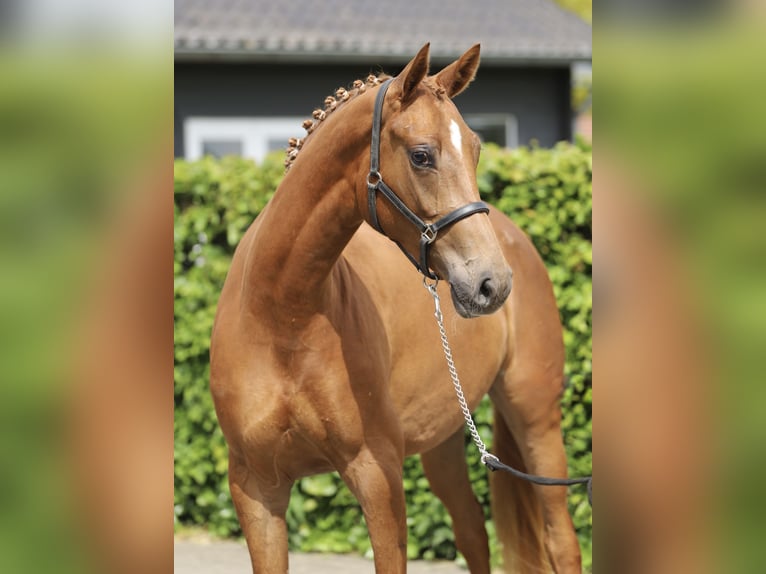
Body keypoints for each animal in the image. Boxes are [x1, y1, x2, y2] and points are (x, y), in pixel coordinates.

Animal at [210, 43, 581, 573]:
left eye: (476, 149)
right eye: (422, 156)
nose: (492, 284)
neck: (282, 316)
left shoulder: (378, 475)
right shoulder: (256, 489)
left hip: (536, 417)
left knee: (560, 539)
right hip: (444, 440)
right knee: (472, 530)